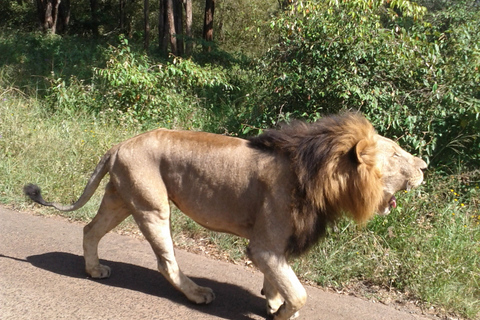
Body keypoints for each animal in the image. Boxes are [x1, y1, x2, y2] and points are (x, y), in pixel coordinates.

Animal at [24, 113, 426, 320]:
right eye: (396, 154)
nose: (424, 166)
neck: (320, 174)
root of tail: (118, 145)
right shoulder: (264, 245)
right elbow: (299, 293)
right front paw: (283, 312)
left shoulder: (273, 244)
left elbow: (278, 280)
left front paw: (272, 299)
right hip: (152, 205)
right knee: (166, 262)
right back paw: (197, 294)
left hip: (121, 198)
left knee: (90, 229)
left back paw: (94, 269)